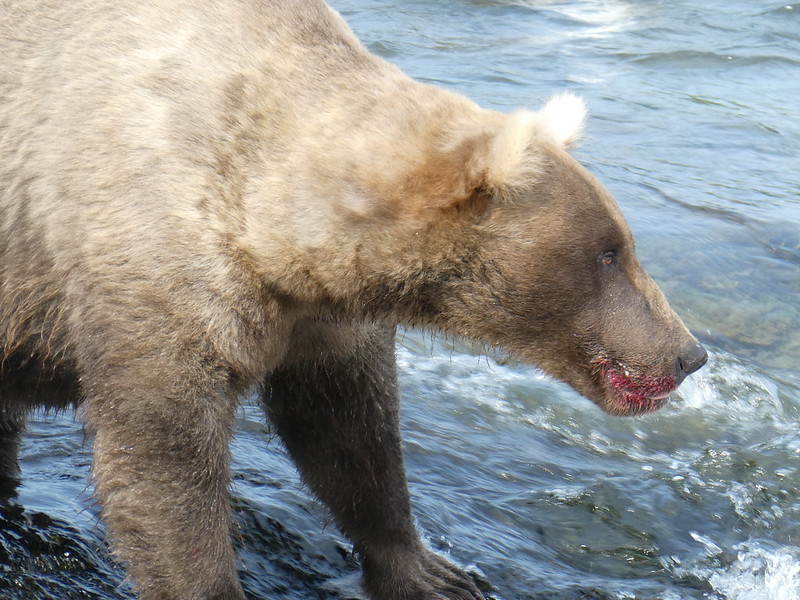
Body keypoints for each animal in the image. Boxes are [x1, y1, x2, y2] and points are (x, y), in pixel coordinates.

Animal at [1, 1, 708, 600]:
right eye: (609, 253)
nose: (689, 354)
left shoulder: (321, 319)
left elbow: (351, 433)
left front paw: (433, 571)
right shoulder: (151, 265)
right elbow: (162, 463)